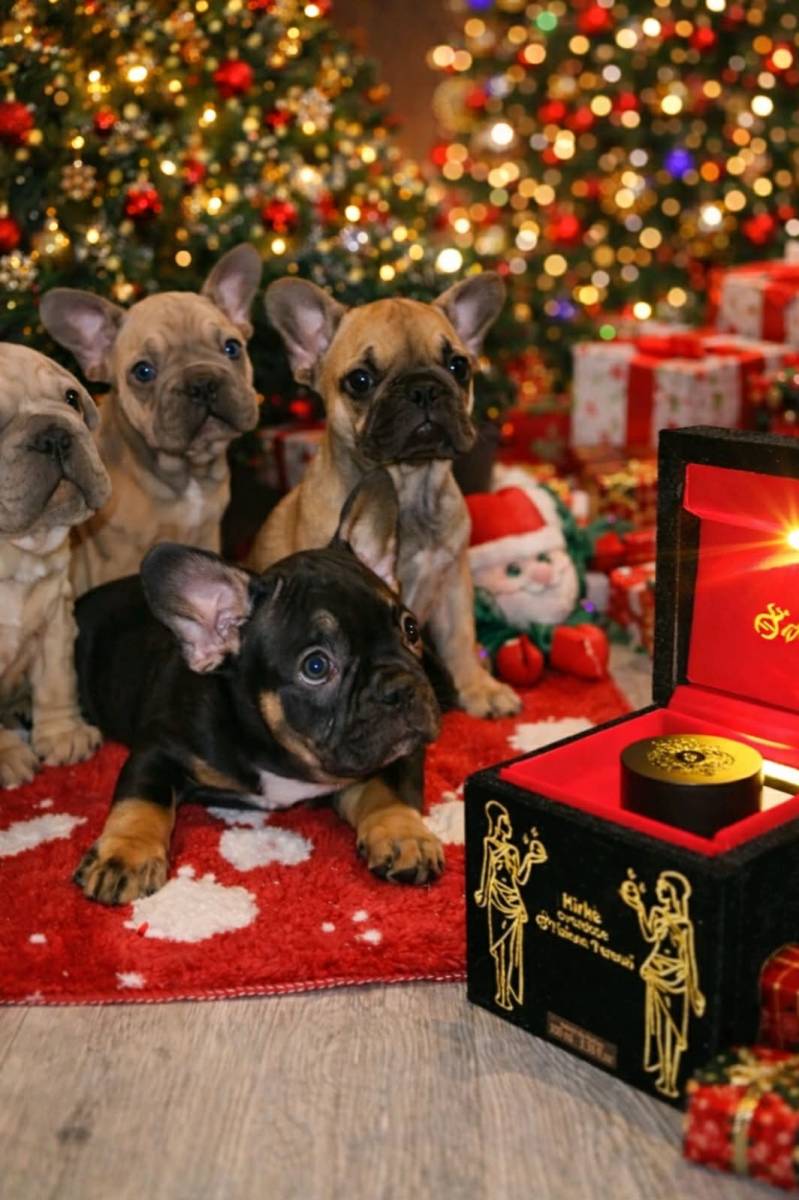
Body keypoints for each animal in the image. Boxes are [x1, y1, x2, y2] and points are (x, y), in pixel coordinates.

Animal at [40, 243, 262, 596]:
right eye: (143, 371)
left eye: (232, 348)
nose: (202, 382)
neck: (186, 473)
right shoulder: (119, 560)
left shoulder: (207, 534)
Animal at [72, 471, 442, 904]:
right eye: (316, 666)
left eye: (411, 629)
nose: (401, 686)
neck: (278, 752)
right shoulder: (157, 750)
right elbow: (141, 799)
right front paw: (124, 855)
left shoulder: (401, 749)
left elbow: (389, 788)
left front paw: (404, 834)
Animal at [248, 273, 521, 719]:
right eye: (360, 380)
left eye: (458, 366)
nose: (423, 389)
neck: (408, 485)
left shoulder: (453, 582)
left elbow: (461, 639)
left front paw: (479, 687)